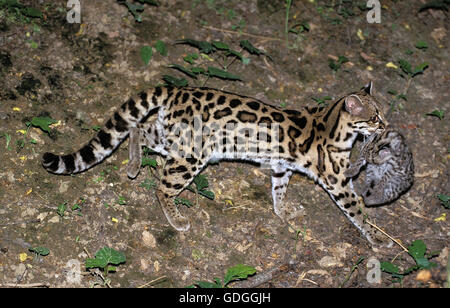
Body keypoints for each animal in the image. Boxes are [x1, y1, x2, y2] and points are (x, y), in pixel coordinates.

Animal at [41, 82, 390, 245]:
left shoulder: (280, 165)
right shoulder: (339, 182)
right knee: (162, 187)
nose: (386, 126)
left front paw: (282, 212)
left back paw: (133, 165)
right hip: (192, 153)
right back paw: (175, 219)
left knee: (139, 127)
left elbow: (279, 189)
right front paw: (378, 239)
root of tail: (177, 89)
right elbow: (358, 210)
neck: (334, 124)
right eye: (374, 117)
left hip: (174, 137)